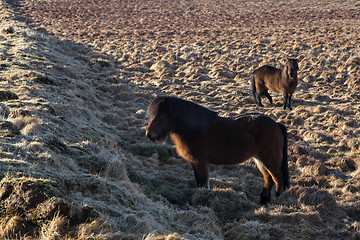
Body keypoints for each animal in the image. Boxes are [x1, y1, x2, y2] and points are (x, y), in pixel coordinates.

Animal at [145, 96, 288, 204]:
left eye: (161, 117)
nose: (149, 135)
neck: (194, 130)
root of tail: (276, 124)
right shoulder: (194, 162)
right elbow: (198, 182)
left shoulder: (201, 162)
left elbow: (203, 183)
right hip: (260, 159)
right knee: (268, 178)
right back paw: (264, 201)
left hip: (270, 159)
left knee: (278, 178)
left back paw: (278, 201)